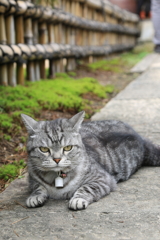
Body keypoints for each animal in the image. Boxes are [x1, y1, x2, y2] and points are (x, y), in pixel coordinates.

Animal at [21, 111, 160, 211]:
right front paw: (35, 196)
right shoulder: (32, 179)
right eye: (44, 149)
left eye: (68, 148)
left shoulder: (103, 179)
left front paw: (78, 199)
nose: (57, 159)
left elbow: (86, 188)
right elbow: (38, 187)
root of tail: (139, 137)